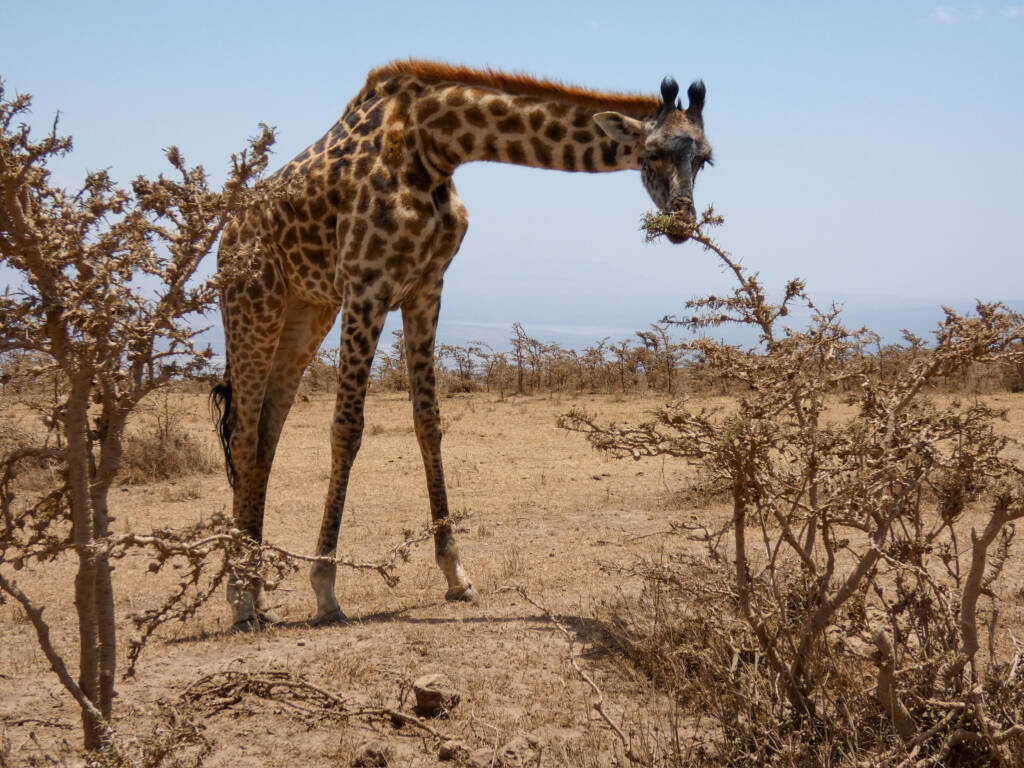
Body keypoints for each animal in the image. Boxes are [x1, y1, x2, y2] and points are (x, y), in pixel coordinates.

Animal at [212, 60, 713, 631]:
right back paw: (241, 600)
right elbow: (347, 429)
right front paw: (325, 588)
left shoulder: (426, 284)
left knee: (266, 435)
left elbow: (428, 422)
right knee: (245, 435)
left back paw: (259, 595)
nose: (681, 222)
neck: (434, 146)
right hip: (254, 304)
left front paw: (456, 573)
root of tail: (228, 231)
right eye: (651, 154)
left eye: (704, 159)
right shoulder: (366, 282)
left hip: (306, 311)